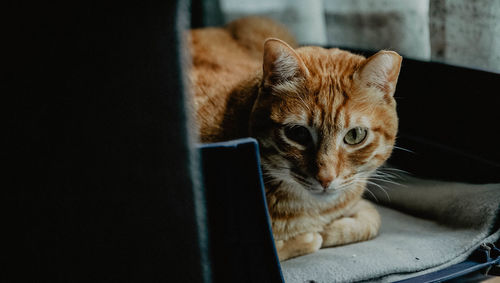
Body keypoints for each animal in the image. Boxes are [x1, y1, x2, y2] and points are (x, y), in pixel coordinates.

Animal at [188, 17, 402, 262]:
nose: (326, 179)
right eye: (298, 133)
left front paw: (327, 230)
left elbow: (371, 220)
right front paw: (309, 238)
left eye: (355, 135)